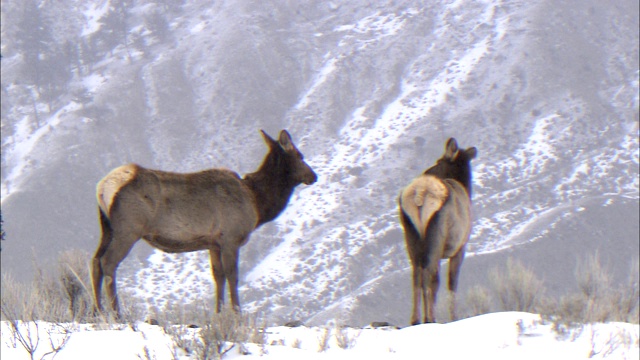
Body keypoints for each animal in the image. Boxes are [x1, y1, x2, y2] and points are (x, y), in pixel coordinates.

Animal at [90, 129, 318, 316]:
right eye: (300, 156)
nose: (313, 176)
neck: (257, 202)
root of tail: (102, 187)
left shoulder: (213, 243)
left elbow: (218, 276)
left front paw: (218, 314)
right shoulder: (230, 238)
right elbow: (233, 276)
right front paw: (237, 314)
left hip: (107, 228)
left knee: (95, 261)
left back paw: (96, 311)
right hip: (128, 229)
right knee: (108, 262)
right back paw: (116, 314)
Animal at [400, 137, 476, 324]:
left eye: (438, 161)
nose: (426, 171)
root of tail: (420, 195)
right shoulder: (460, 247)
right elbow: (452, 282)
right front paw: (453, 316)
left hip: (412, 238)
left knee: (417, 275)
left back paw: (416, 319)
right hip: (436, 237)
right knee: (430, 276)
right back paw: (430, 317)